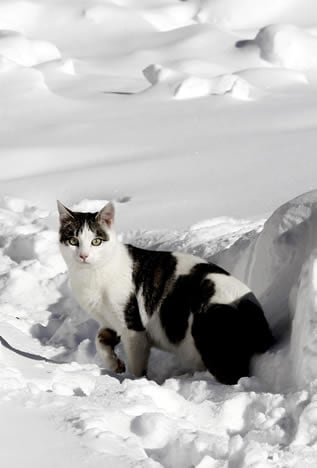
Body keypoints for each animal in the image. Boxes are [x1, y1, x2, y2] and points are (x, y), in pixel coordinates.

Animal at [57, 201, 274, 384]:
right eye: (73, 241)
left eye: (96, 241)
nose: (83, 256)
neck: (91, 275)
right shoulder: (110, 321)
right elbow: (100, 338)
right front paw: (114, 364)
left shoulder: (133, 326)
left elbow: (136, 365)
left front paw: (134, 383)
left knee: (233, 375)